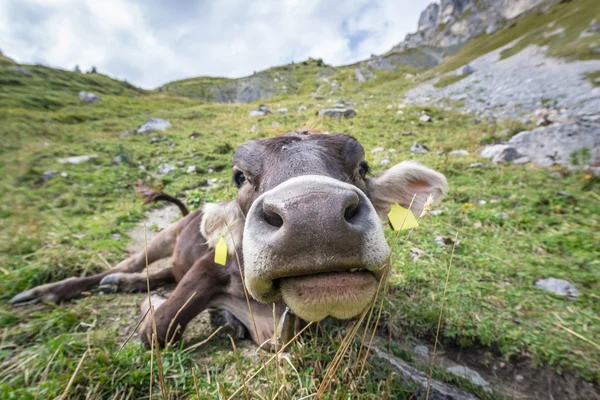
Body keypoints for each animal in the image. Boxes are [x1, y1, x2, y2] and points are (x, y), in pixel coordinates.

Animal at [9, 130, 448, 348]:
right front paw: (156, 309)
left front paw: (225, 319)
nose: (314, 218)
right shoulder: (206, 268)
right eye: (240, 176)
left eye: (363, 166)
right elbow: (158, 328)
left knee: (160, 273)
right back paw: (52, 290)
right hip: (164, 235)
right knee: (127, 265)